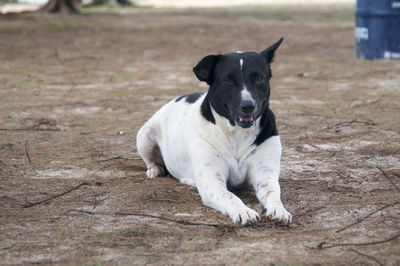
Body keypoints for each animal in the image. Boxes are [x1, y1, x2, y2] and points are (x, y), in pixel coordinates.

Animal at [137, 38, 290, 225]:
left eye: (260, 78)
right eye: (227, 80)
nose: (248, 106)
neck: (236, 133)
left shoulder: (264, 174)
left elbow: (273, 193)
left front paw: (279, 209)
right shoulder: (212, 182)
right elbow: (230, 196)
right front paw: (243, 211)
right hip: (145, 137)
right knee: (150, 160)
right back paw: (155, 169)